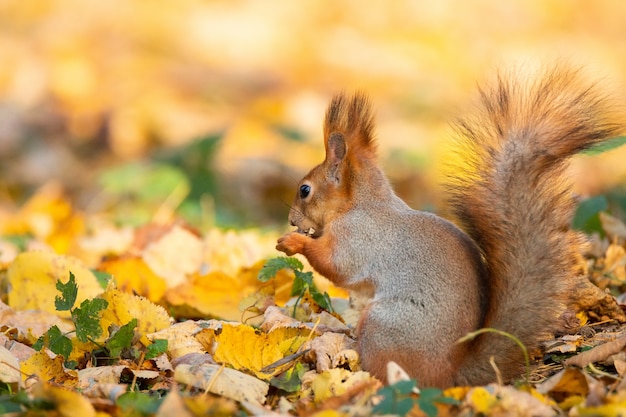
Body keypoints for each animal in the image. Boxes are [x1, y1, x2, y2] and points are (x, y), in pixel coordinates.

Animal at [276, 65, 620, 386]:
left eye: (305, 190)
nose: (292, 220)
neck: (362, 204)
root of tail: (450, 374)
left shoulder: (358, 237)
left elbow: (336, 266)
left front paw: (293, 242)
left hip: (382, 327)